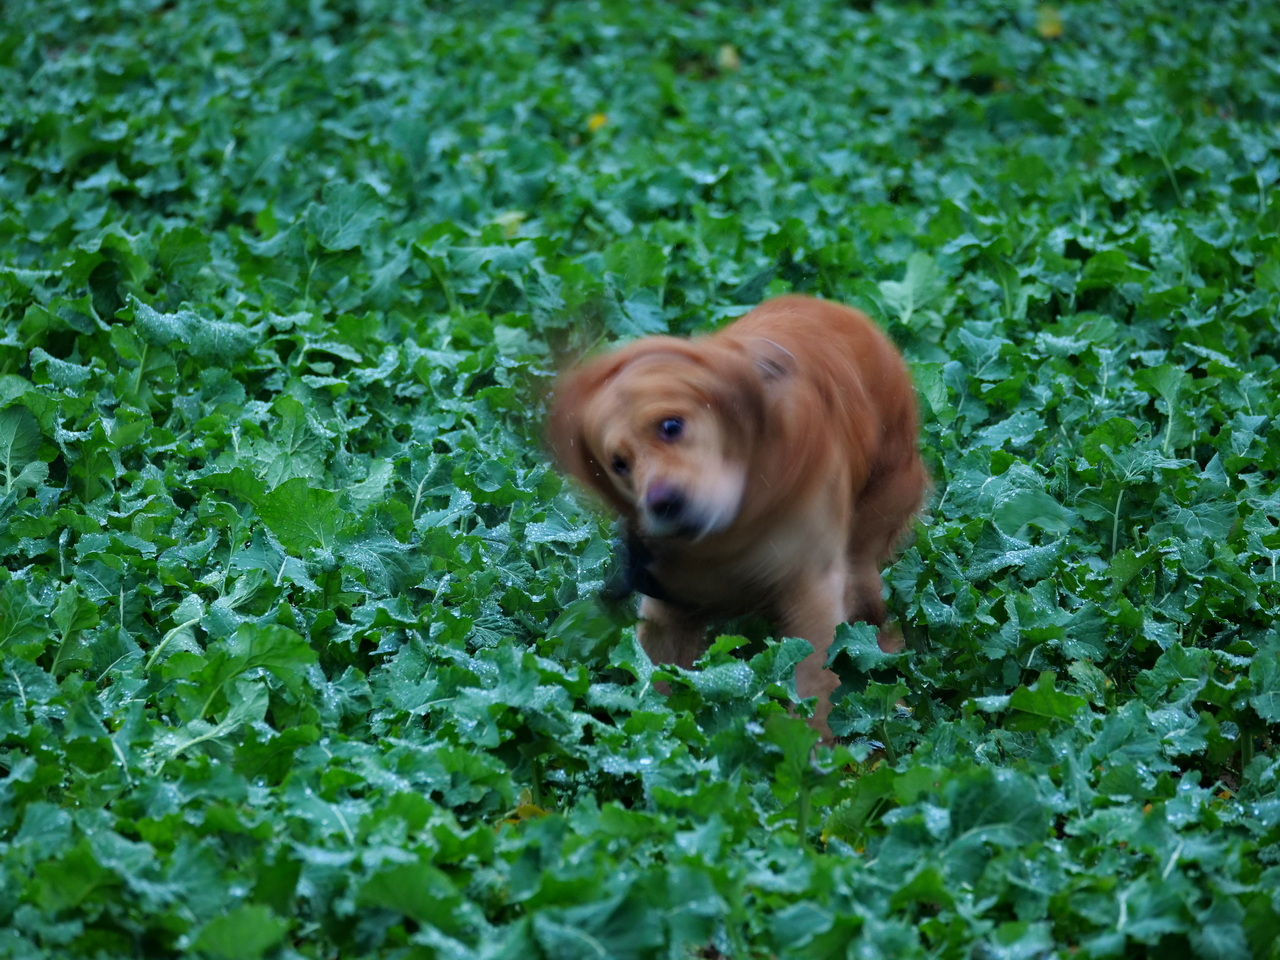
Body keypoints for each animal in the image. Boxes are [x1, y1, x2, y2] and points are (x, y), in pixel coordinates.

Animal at [545, 295, 926, 742]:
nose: (662, 502)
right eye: (618, 463)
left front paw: (816, 748)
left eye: (671, 425)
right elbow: (655, 680)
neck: (732, 533)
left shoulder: (811, 588)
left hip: (869, 537)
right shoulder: (666, 606)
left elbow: (813, 682)